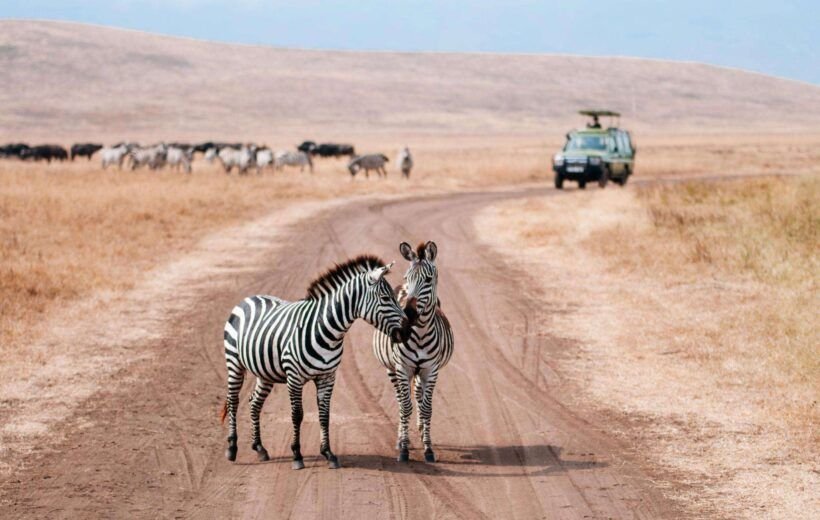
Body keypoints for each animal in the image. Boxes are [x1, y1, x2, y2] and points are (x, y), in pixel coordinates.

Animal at [221, 254, 410, 470]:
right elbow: (297, 415)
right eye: (386, 298)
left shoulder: (327, 377)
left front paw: (328, 453)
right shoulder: (294, 377)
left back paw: (260, 448)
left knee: (254, 402)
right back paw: (232, 448)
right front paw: (297, 455)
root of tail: (249, 298)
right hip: (234, 363)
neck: (326, 330)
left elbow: (324, 414)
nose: (407, 331)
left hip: (265, 372)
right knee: (233, 400)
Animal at [374, 241, 454, 464]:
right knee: (401, 400)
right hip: (392, 369)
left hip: (419, 372)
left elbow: (426, 408)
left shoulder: (431, 370)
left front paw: (428, 448)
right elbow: (405, 406)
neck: (419, 335)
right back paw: (402, 439)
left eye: (427, 279)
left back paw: (418, 429)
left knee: (418, 395)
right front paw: (403, 449)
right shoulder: (402, 367)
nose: (408, 313)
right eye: (406, 277)